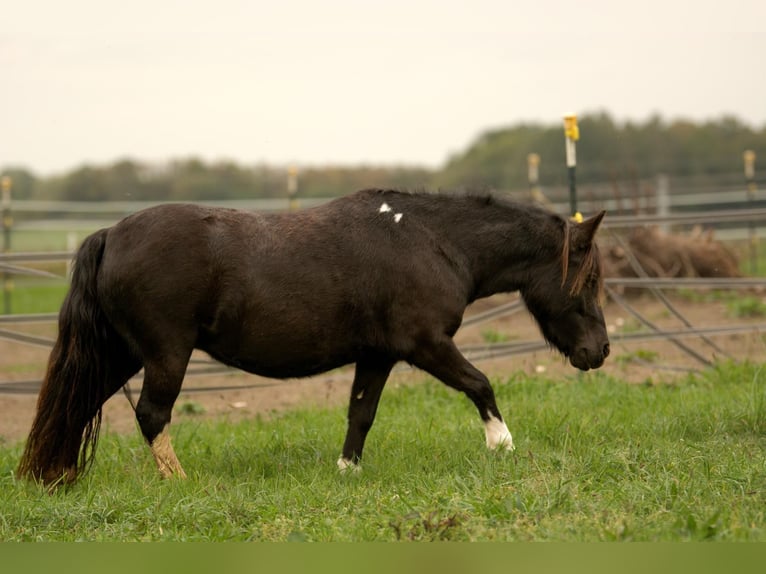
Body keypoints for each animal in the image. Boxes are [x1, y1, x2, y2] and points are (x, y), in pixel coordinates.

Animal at [15, 190, 608, 486]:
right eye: (588, 279)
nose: (599, 351)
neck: (432, 240)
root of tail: (111, 233)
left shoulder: (379, 355)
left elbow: (360, 413)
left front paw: (347, 472)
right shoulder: (426, 345)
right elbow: (480, 383)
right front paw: (502, 446)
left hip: (119, 354)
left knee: (76, 404)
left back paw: (54, 476)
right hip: (165, 354)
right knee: (151, 415)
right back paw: (178, 482)